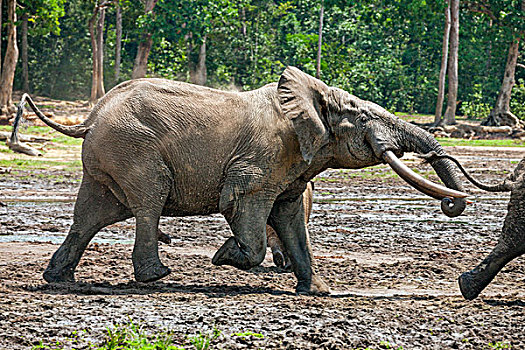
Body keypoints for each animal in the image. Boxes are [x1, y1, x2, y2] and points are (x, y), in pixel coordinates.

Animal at [14, 67, 468, 294]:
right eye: (364, 117)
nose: (451, 203)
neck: (311, 99)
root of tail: (90, 116)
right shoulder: (263, 159)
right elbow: (242, 203)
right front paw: (223, 257)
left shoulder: (291, 167)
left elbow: (290, 217)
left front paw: (317, 293)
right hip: (134, 149)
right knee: (147, 202)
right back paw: (157, 277)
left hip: (110, 156)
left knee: (92, 215)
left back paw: (60, 279)